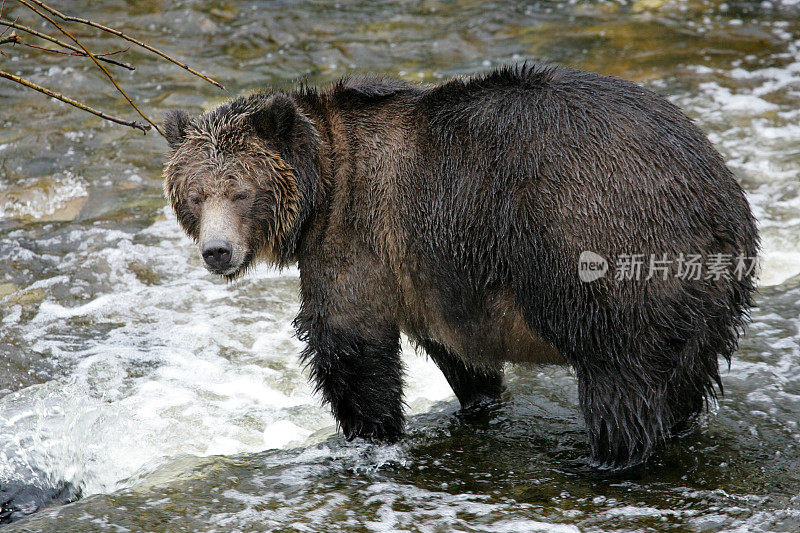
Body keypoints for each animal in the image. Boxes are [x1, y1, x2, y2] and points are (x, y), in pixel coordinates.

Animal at [161, 64, 756, 468]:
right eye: (194, 195)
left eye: (240, 192)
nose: (217, 251)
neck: (323, 185)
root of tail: (718, 194)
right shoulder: (431, 269)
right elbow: (457, 350)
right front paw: (475, 400)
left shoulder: (358, 233)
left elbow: (349, 341)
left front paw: (368, 433)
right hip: (708, 292)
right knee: (689, 370)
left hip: (605, 247)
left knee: (619, 374)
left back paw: (606, 457)